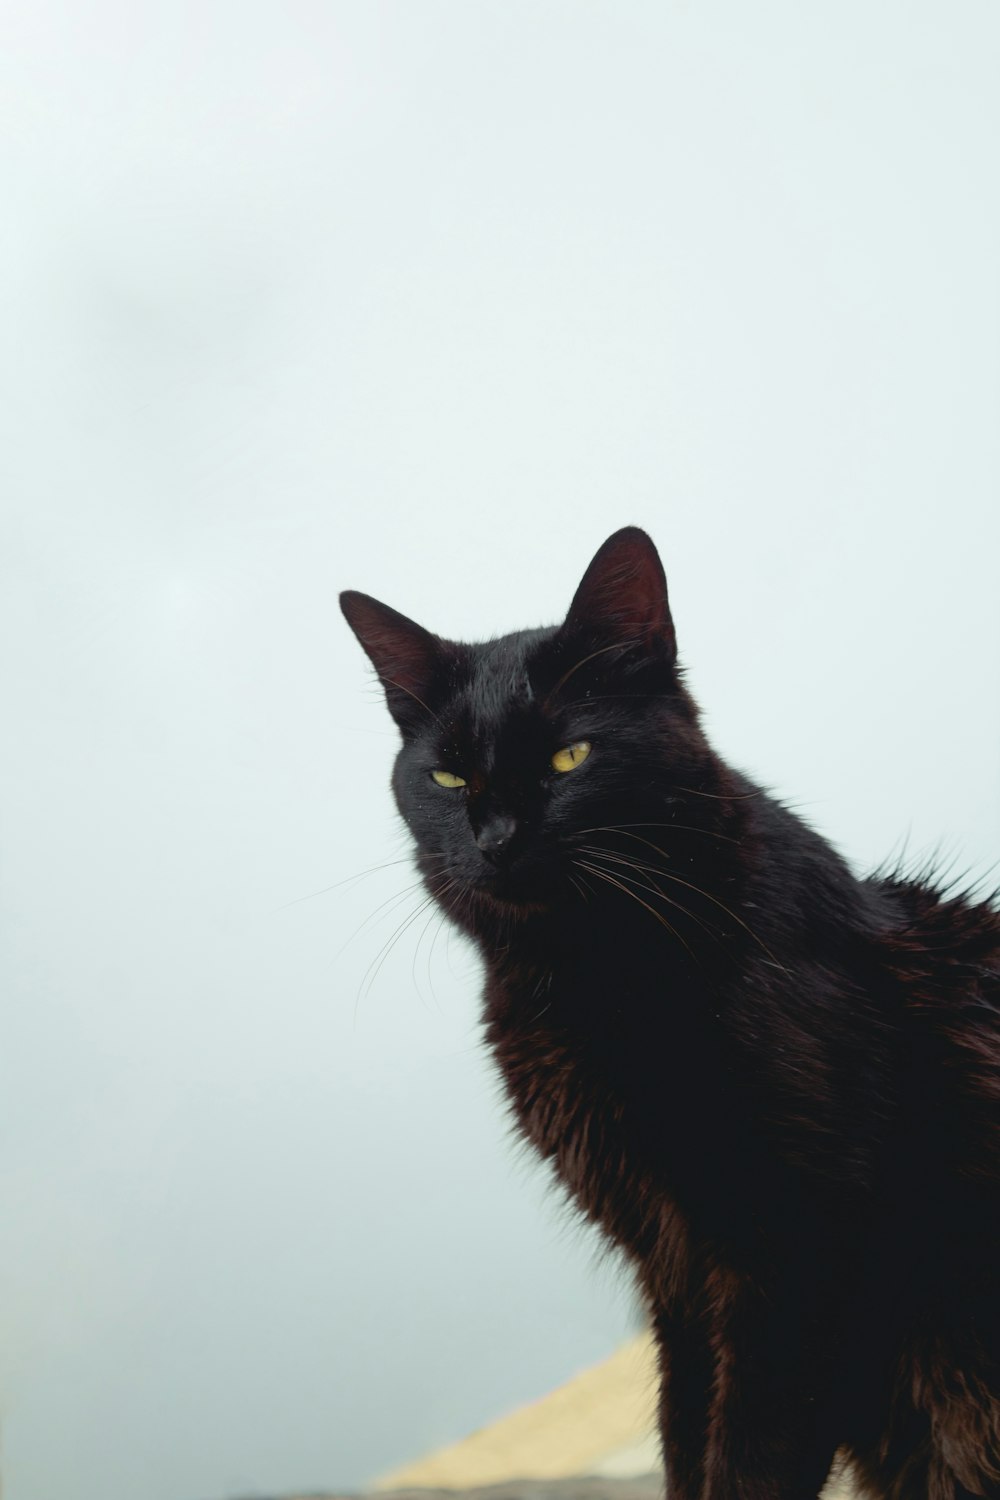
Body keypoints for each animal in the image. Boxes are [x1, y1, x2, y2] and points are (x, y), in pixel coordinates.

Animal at [341, 528, 1000, 1500]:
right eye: (449, 775)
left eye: (569, 758)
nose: (495, 840)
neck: (580, 977)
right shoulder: (673, 1269)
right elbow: (685, 1434)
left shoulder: (795, 1247)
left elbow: (750, 1455)